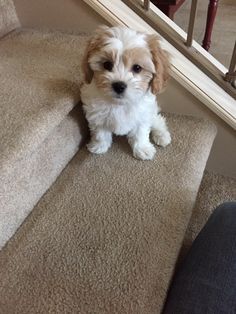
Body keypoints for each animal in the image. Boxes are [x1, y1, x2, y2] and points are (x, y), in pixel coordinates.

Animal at [80, 25, 171, 161]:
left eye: (137, 68)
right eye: (107, 64)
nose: (119, 86)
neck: (120, 104)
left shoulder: (142, 116)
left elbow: (140, 133)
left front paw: (142, 149)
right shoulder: (96, 115)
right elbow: (100, 133)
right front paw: (99, 146)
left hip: (151, 110)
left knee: (157, 119)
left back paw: (162, 135)